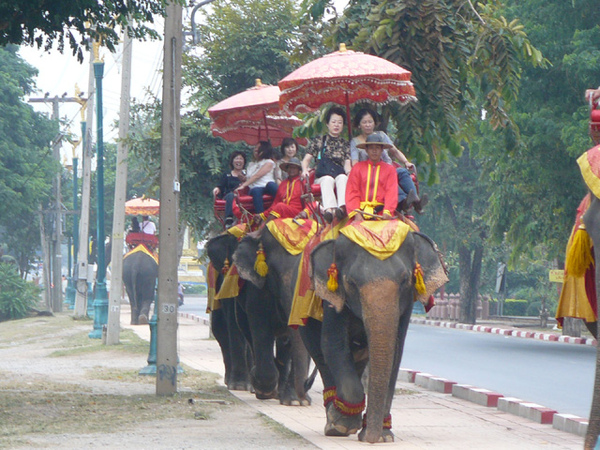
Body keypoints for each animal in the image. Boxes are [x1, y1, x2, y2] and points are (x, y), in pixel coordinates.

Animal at [308, 229, 448, 442]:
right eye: (351, 283)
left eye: (405, 280)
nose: (370, 439)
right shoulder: (333, 298)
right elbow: (332, 344)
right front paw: (344, 426)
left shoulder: (407, 302)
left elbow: (396, 352)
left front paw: (384, 436)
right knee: (319, 353)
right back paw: (335, 423)